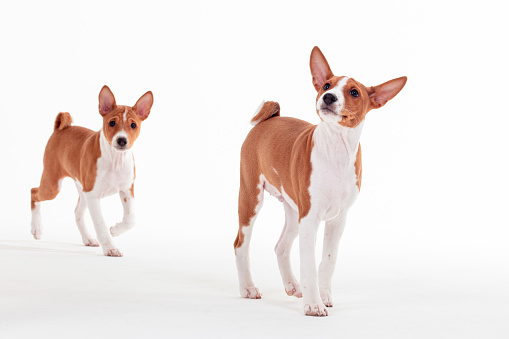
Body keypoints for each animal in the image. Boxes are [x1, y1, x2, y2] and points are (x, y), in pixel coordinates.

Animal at [29, 85, 152, 258]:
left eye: (133, 125)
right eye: (112, 123)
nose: (122, 140)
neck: (115, 160)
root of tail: (61, 128)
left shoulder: (127, 190)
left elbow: (130, 219)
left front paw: (115, 230)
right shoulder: (93, 195)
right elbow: (100, 223)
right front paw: (110, 248)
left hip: (82, 189)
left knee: (77, 213)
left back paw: (88, 238)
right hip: (53, 185)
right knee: (34, 192)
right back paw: (37, 228)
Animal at [233, 46, 404, 318]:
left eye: (354, 92)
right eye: (326, 85)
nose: (328, 97)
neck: (336, 152)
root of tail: (270, 119)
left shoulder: (337, 220)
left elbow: (328, 261)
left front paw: (323, 296)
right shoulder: (311, 219)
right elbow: (309, 263)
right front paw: (313, 304)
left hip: (293, 211)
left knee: (281, 246)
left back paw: (292, 285)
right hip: (251, 198)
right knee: (240, 244)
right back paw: (248, 287)